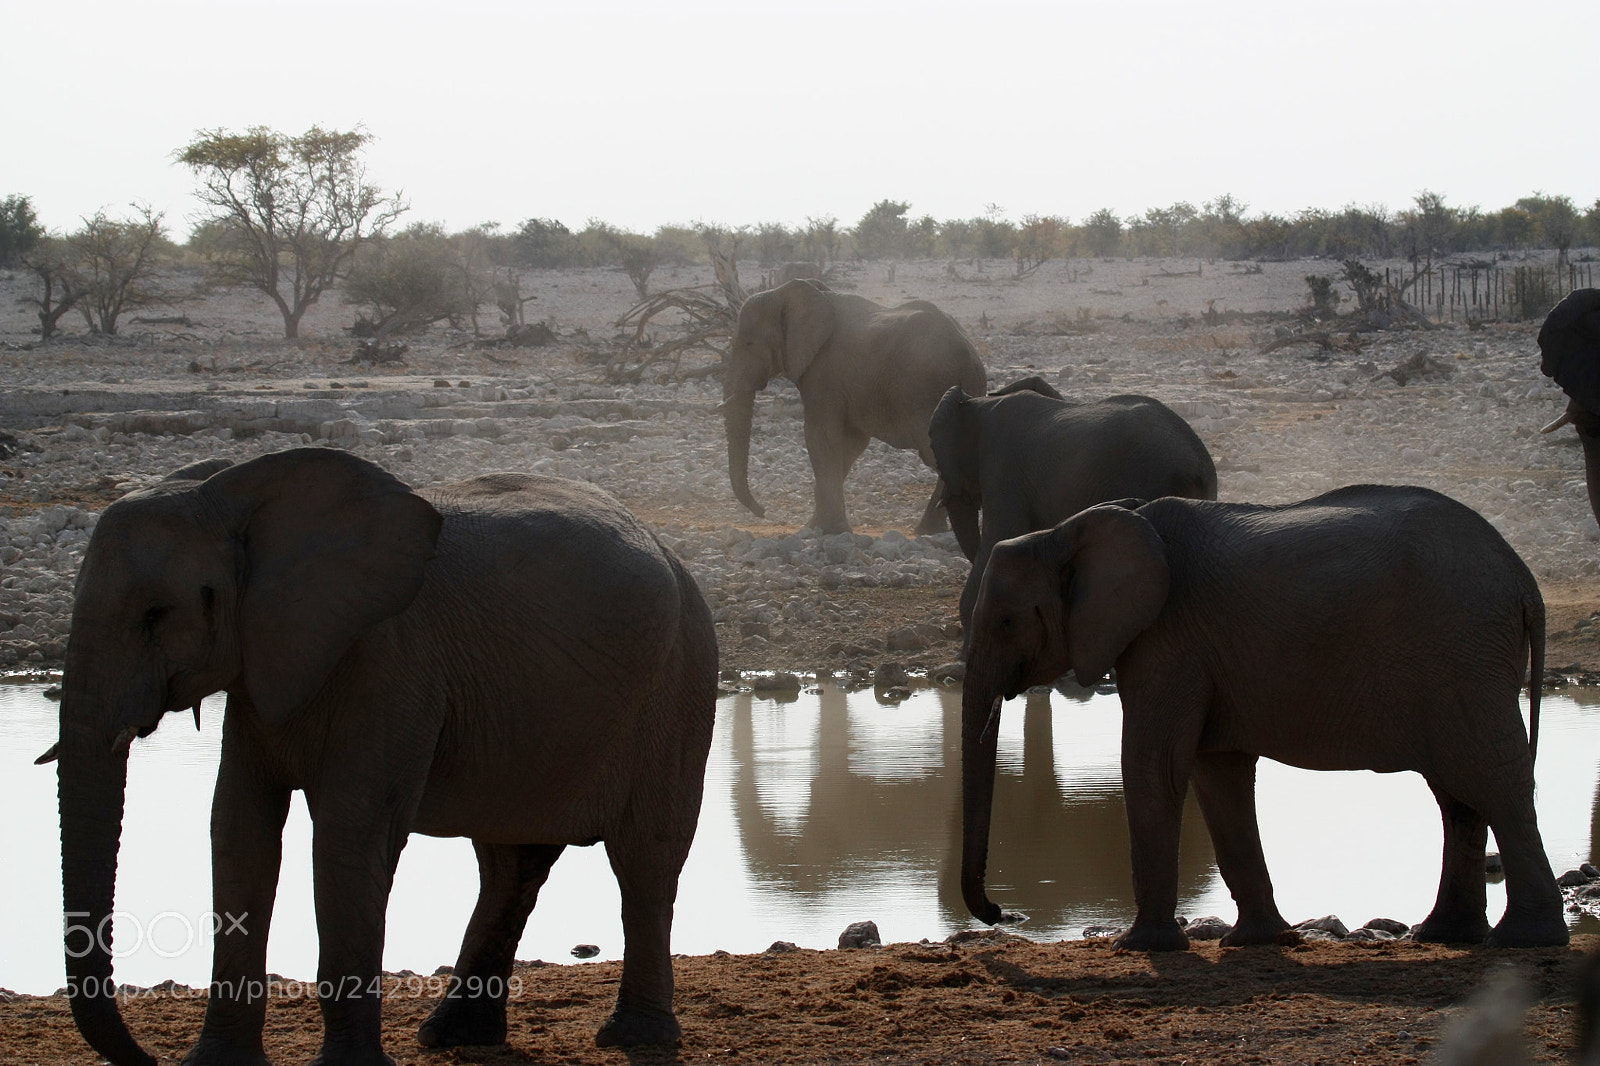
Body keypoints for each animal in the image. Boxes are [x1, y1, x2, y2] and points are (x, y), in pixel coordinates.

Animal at [47, 447, 718, 1065]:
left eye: (156, 614)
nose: (147, 1058)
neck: (236, 492)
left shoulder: (390, 663)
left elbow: (348, 835)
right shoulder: (265, 666)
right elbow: (238, 827)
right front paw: (215, 1064)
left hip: (680, 683)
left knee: (644, 861)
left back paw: (636, 1037)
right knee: (509, 864)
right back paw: (451, 1036)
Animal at [722, 278, 987, 535]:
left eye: (749, 344)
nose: (763, 512)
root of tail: (973, 357)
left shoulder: (824, 373)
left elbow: (820, 437)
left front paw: (831, 530)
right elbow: (851, 443)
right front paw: (815, 527)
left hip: (930, 392)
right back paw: (930, 530)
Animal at [928, 377, 1217, 641]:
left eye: (935, 454)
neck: (978, 402)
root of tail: (1198, 462)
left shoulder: (1003, 467)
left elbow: (999, 536)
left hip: (1148, 479)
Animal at [959, 485, 1567, 952]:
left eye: (1006, 622)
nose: (1002, 912)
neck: (1068, 530)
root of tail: (1524, 581)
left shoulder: (1166, 639)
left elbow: (1156, 767)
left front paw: (1141, 948)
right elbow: (1218, 775)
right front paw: (1257, 942)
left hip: (1465, 655)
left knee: (1492, 778)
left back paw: (1526, 940)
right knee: (1457, 792)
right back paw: (1443, 936)